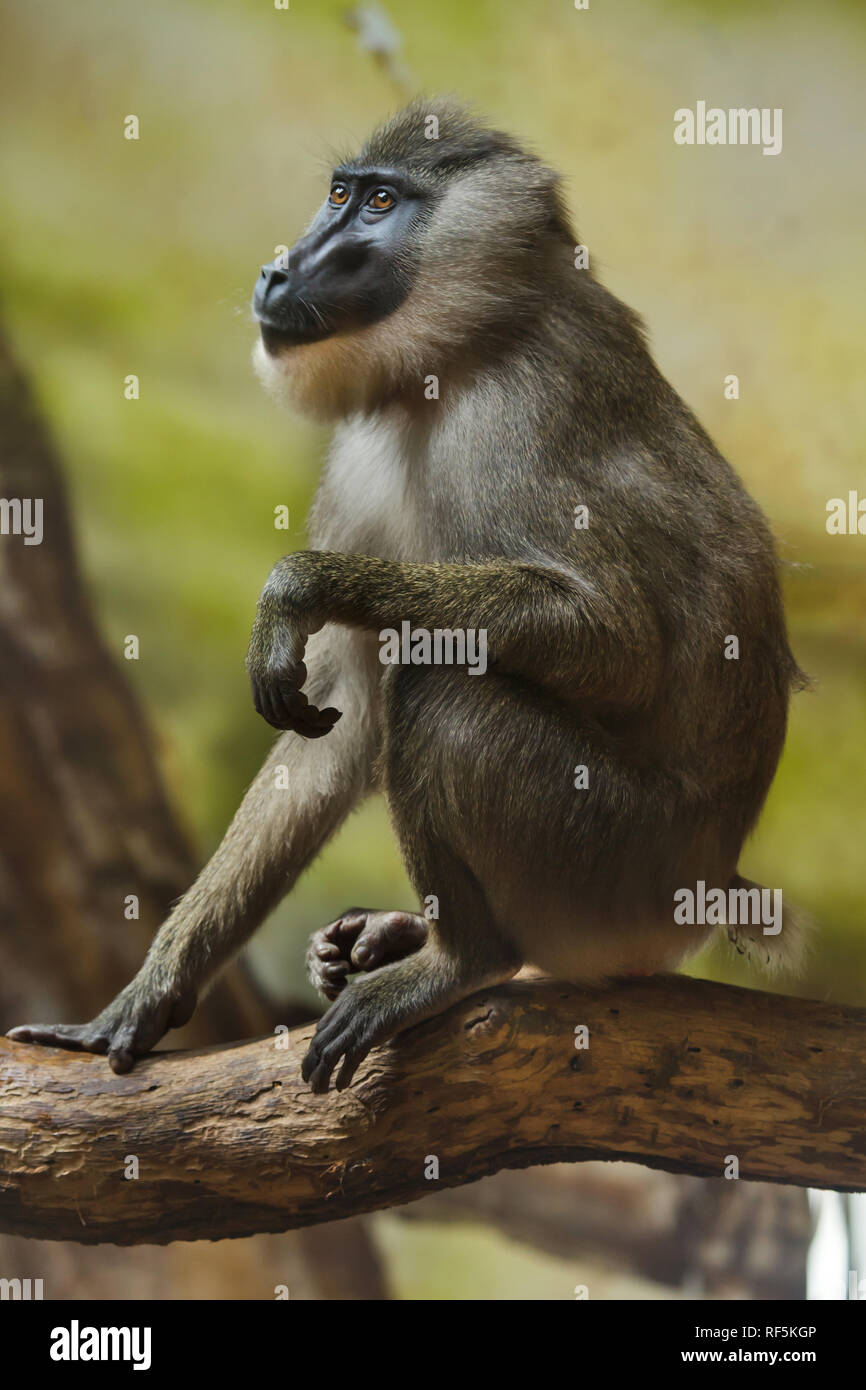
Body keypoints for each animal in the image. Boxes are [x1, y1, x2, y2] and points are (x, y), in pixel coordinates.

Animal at [8, 98, 806, 1093]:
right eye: (339, 191)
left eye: (381, 202)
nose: (279, 267)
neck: (453, 354)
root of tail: (708, 890)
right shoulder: (362, 451)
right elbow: (337, 718)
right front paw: (147, 997)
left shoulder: (525, 409)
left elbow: (620, 645)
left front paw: (299, 587)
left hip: (608, 874)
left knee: (446, 686)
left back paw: (457, 958)